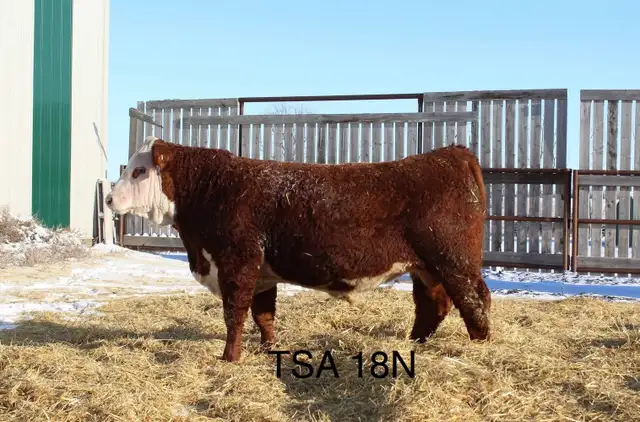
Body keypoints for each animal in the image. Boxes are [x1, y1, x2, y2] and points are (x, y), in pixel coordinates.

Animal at [105, 135, 491, 363]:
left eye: (139, 171)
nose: (108, 199)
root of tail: (452, 155)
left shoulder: (238, 263)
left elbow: (234, 315)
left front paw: (230, 358)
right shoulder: (262, 273)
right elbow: (263, 315)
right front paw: (267, 349)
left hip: (454, 261)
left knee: (474, 300)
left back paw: (480, 346)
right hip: (426, 267)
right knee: (435, 304)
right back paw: (416, 343)